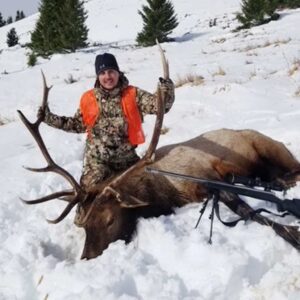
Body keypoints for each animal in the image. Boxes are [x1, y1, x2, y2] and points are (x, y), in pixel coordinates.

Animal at [18, 45, 300, 258]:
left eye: (109, 220)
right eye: (84, 225)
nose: (87, 258)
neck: (164, 193)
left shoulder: (212, 179)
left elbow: (251, 213)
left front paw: (293, 234)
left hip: (270, 147)